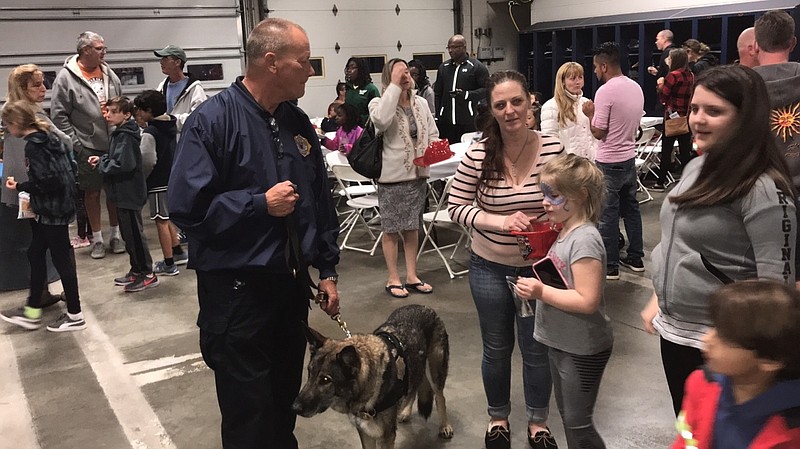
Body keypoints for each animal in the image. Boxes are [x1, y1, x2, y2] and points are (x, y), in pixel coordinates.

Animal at [294, 302, 456, 446]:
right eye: (309, 372)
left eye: (325, 379)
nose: (294, 408)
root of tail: (425, 307)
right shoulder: (365, 433)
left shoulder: (386, 436)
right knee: (414, 386)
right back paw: (405, 411)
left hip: (435, 373)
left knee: (440, 397)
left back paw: (444, 426)